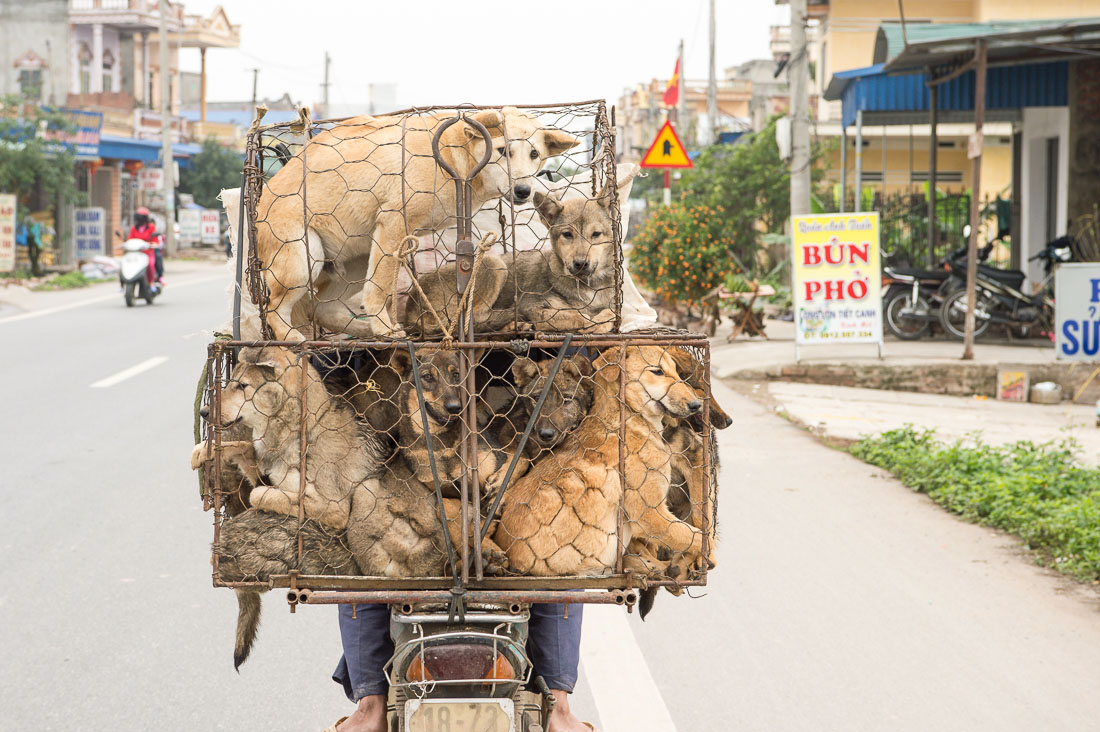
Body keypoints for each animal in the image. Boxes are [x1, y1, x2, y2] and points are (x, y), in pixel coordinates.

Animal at [254, 107, 580, 341]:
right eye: (502, 152)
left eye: (534, 154)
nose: (523, 191)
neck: (450, 155)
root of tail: (258, 210)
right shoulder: (393, 223)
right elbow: (381, 286)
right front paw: (382, 326)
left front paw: (381, 326)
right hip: (303, 258)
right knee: (274, 308)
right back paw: (292, 336)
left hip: (355, 261)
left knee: (321, 310)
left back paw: (365, 330)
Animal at [497, 347, 704, 576]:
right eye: (657, 371)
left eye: (676, 372)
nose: (697, 405)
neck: (628, 416)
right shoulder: (652, 516)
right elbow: (698, 538)